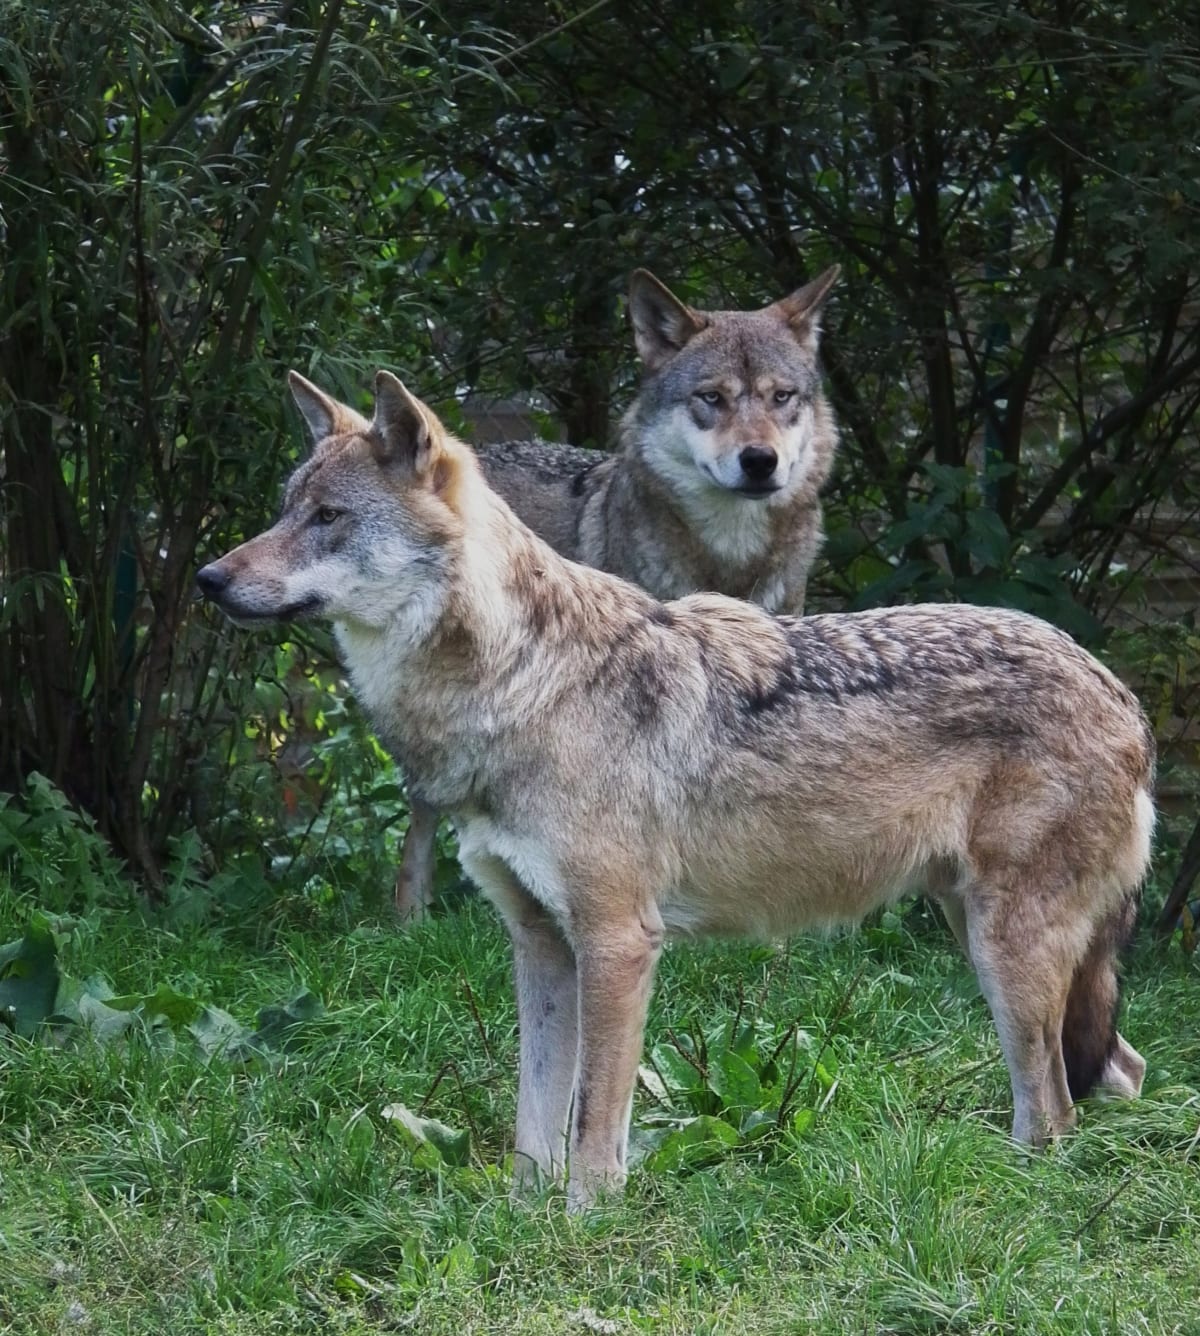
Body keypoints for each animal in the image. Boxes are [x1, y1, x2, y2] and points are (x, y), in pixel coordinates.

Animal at [197, 370, 1152, 1211]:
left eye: (327, 518)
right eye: (285, 509)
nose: (208, 579)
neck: (520, 682)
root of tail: (1120, 691)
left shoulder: (618, 943)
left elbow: (595, 1128)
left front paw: (584, 1227)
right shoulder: (541, 945)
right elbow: (533, 1125)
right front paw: (520, 1222)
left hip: (1004, 951)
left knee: (1057, 1111)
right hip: (979, 936)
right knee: (1115, 1076)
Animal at [394, 265, 842, 916]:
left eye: (782, 396)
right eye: (712, 398)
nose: (760, 460)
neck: (728, 559)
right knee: (421, 825)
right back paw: (410, 920)